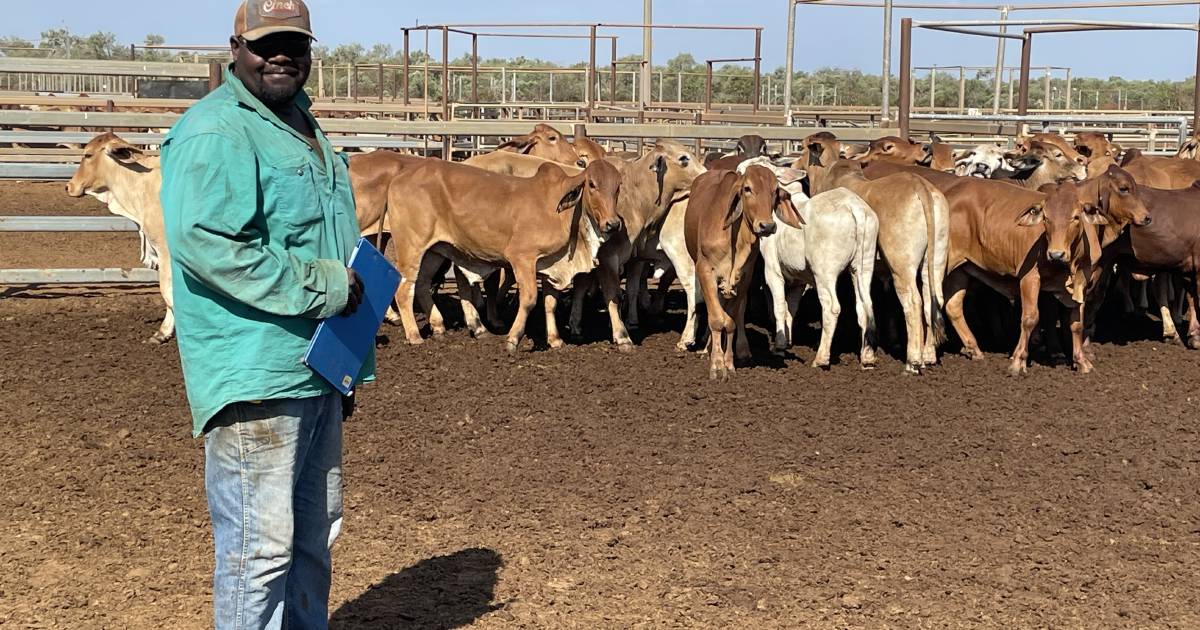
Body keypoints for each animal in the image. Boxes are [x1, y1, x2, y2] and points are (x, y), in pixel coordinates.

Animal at [686, 164, 806, 379]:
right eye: (747, 189)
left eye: (775, 190)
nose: (767, 225)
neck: (735, 238)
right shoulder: (705, 271)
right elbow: (717, 319)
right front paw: (717, 365)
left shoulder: (745, 278)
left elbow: (731, 321)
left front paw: (728, 362)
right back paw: (707, 348)